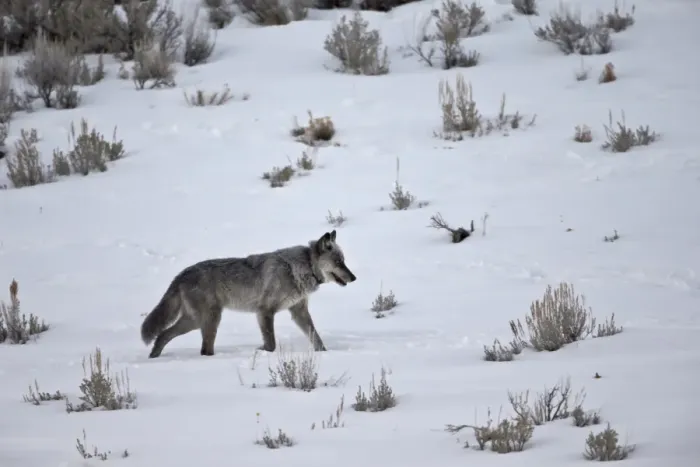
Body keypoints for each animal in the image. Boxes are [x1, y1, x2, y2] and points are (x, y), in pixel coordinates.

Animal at [140, 230, 356, 358]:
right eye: (339, 262)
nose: (354, 277)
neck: (300, 268)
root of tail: (181, 274)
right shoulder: (265, 311)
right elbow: (271, 343)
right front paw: (261, 351)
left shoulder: (298, 311)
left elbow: (316, 338)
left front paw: (325, 354)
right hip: (208, 320)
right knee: (202, 349)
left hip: (194, 322)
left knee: (163, 335)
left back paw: (154, 358)